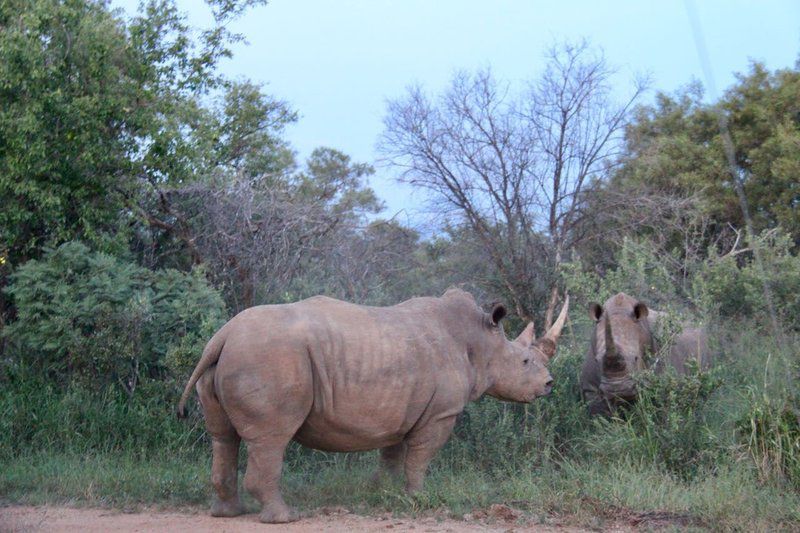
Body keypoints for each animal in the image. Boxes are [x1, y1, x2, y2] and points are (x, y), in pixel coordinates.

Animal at [179, 288, 572, 520]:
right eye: (525, 361)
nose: (549, 385)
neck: (480, 341)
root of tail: (223, 335)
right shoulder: (440, 414)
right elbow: (420, 458)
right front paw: (418, 499)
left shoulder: (404, 406)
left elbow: (393, 454)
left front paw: (384, 492)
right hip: (269, 357)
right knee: (272, 439)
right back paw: (285, 517)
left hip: (232, 358)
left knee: (223, 437)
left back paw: (228, 513)